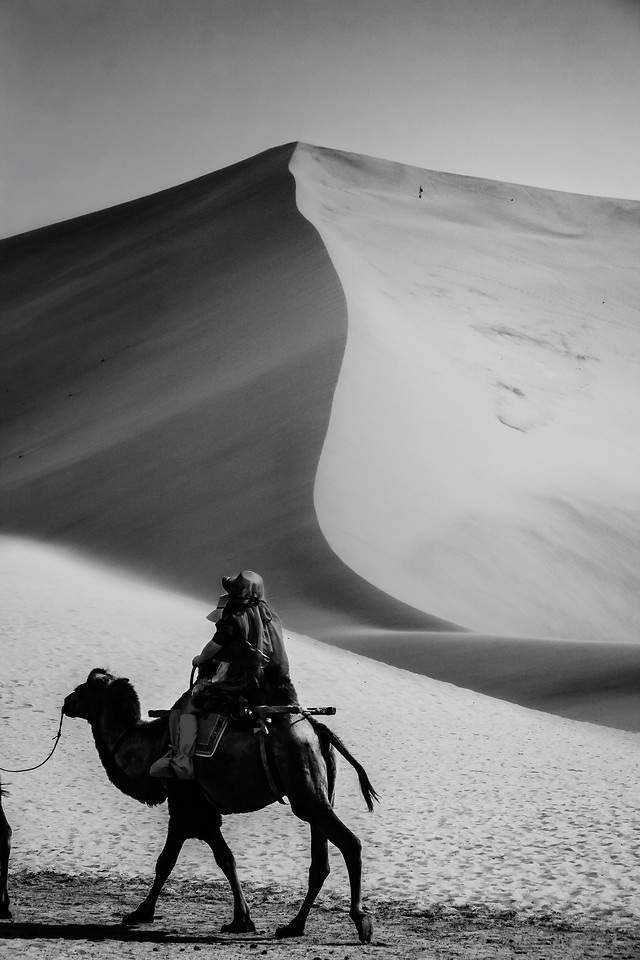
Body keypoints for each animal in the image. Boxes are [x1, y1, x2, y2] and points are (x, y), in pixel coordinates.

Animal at [62, 672, 378, 940]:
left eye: (85, 688)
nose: (67, 701)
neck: (148, 749)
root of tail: (317, 729)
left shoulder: (189, 807)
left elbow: (177, 861)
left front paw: (141, 913)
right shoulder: (196, 811)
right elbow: (215, 859)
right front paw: (242, 919)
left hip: (305, 790)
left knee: (350, 844)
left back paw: (361, 920)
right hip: (317, 795)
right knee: (320, 862)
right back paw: (293, 926)